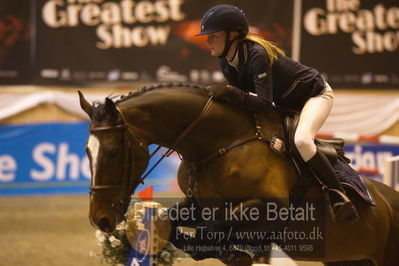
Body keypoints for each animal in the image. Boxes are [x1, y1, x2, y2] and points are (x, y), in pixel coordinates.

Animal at [79, 83, 399, 266]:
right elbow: (173, 221)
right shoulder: (199, 205)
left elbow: (217, 228)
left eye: (113, 152)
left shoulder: (272, 208)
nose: (100, 219)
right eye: (86, 152)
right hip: (348, 260)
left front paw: (230, 251)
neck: (220, 144)